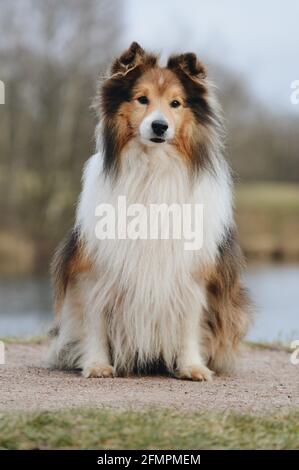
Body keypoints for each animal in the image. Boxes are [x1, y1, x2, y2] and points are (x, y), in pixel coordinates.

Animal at [48, 42, 252, 380]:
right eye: (141, 99)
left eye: (176, 103)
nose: (160, 126)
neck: (153, 166)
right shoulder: (94, 267)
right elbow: (94, 319)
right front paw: (97, 364)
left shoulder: (193, 271)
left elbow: (190, 322)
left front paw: (192, 366)